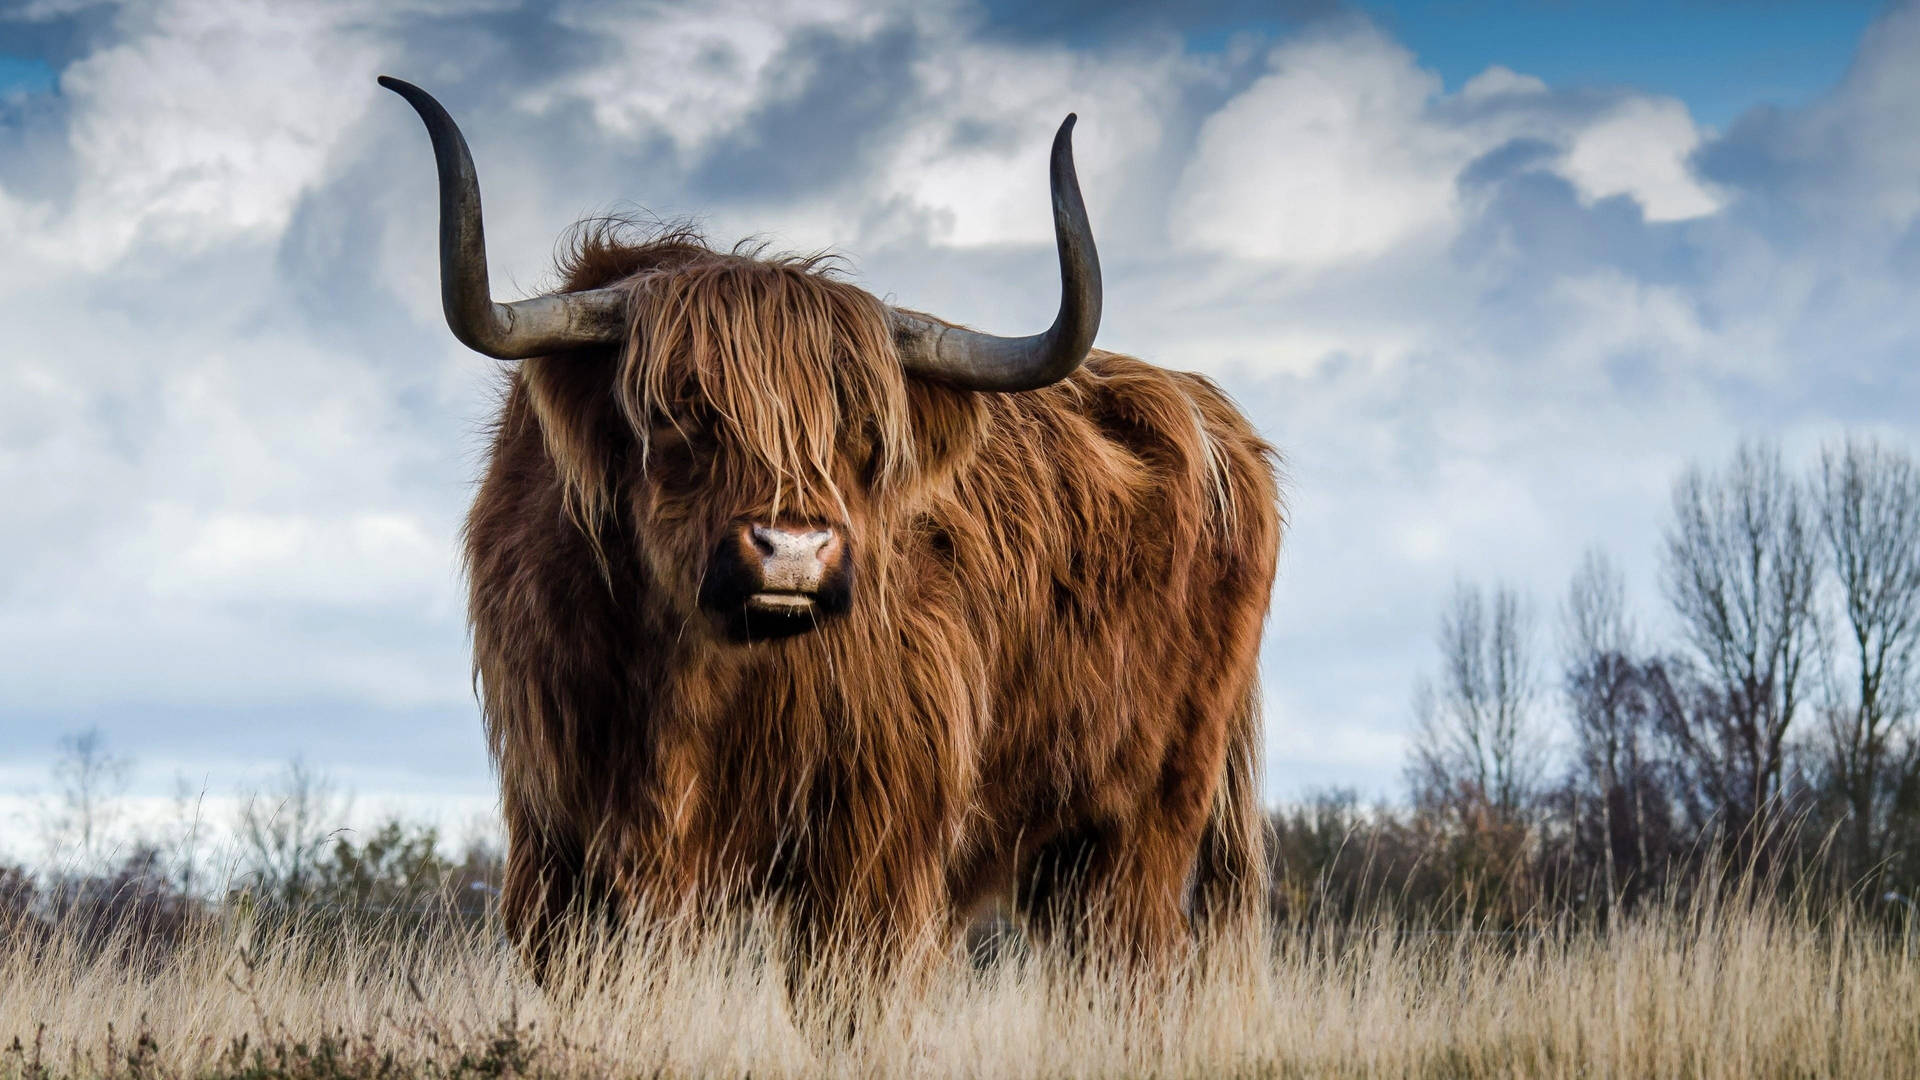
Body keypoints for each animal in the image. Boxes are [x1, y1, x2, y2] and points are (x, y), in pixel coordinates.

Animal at [380, 77, 1282, 981]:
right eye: (680, 412)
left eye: (862, 431)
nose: (794, 551)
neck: (685, 682)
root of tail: (1212, 414)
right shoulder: (559, 837)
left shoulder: (874, 841)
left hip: (1145, 819)